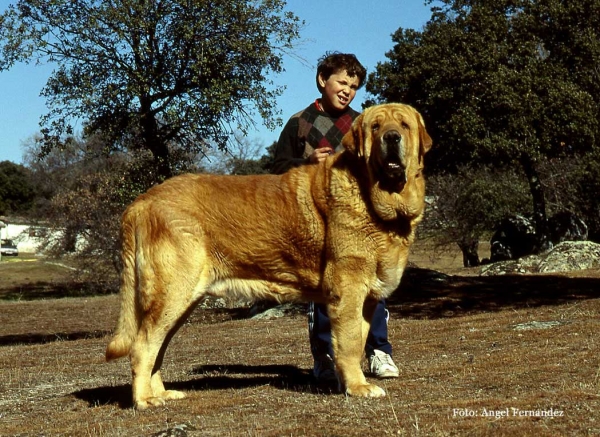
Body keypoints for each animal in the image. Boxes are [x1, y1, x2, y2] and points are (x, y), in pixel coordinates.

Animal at [104, 102, 432, 408]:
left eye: (403, 125)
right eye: (375, 127)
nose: (392, 137)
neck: (371, 194)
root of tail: (142, 202)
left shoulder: (367, 298)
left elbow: (358, 338)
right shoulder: (348, 291)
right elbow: (350, 343)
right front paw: (359, 387)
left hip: (180, 303)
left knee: (156, 349)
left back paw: (161, 393)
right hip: (172, 294)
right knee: (142, 347)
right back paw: (144, 400)